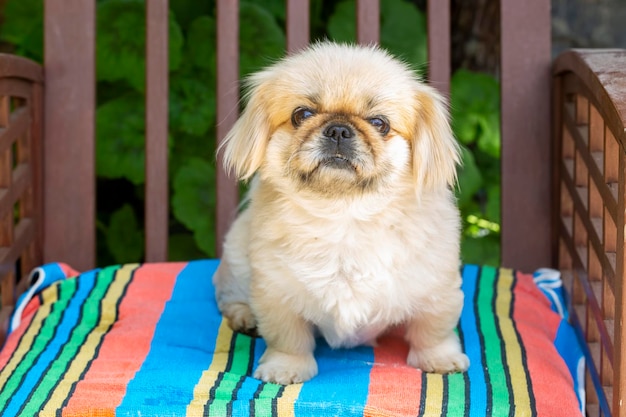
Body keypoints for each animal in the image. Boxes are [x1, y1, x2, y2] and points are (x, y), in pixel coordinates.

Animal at [212, 42, 466, 384]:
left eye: (380, 123)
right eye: (302, 114)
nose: (338, 130)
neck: (345, 217)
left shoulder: (436, 289)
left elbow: (433, 331)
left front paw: (440, 360)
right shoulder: (276, 293)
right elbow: (288, 338)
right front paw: (285, 368)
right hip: (238, 258)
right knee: (229, 294)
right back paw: (244, 316)